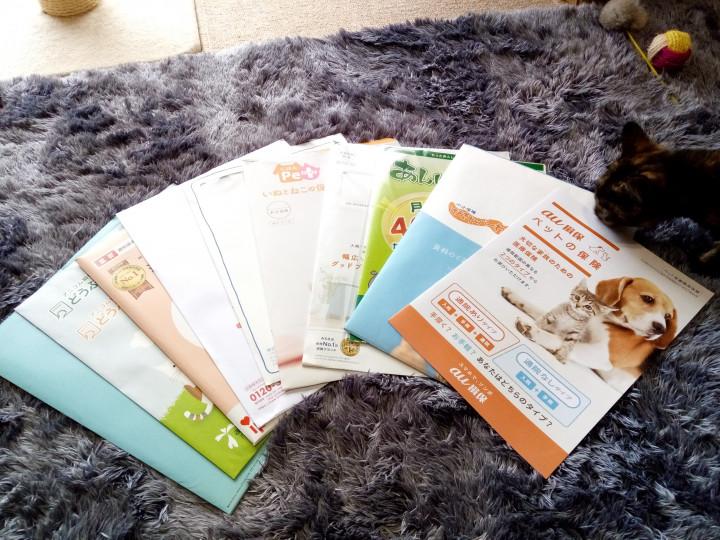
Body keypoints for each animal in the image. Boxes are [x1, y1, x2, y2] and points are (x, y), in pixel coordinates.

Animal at [502, 277, 677, 392]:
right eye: (648, 299)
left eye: (668, 316)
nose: (660, 328)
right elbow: (538, 311)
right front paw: (514, 296)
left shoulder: (601, 356)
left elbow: (560, 340)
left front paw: (531, 328)